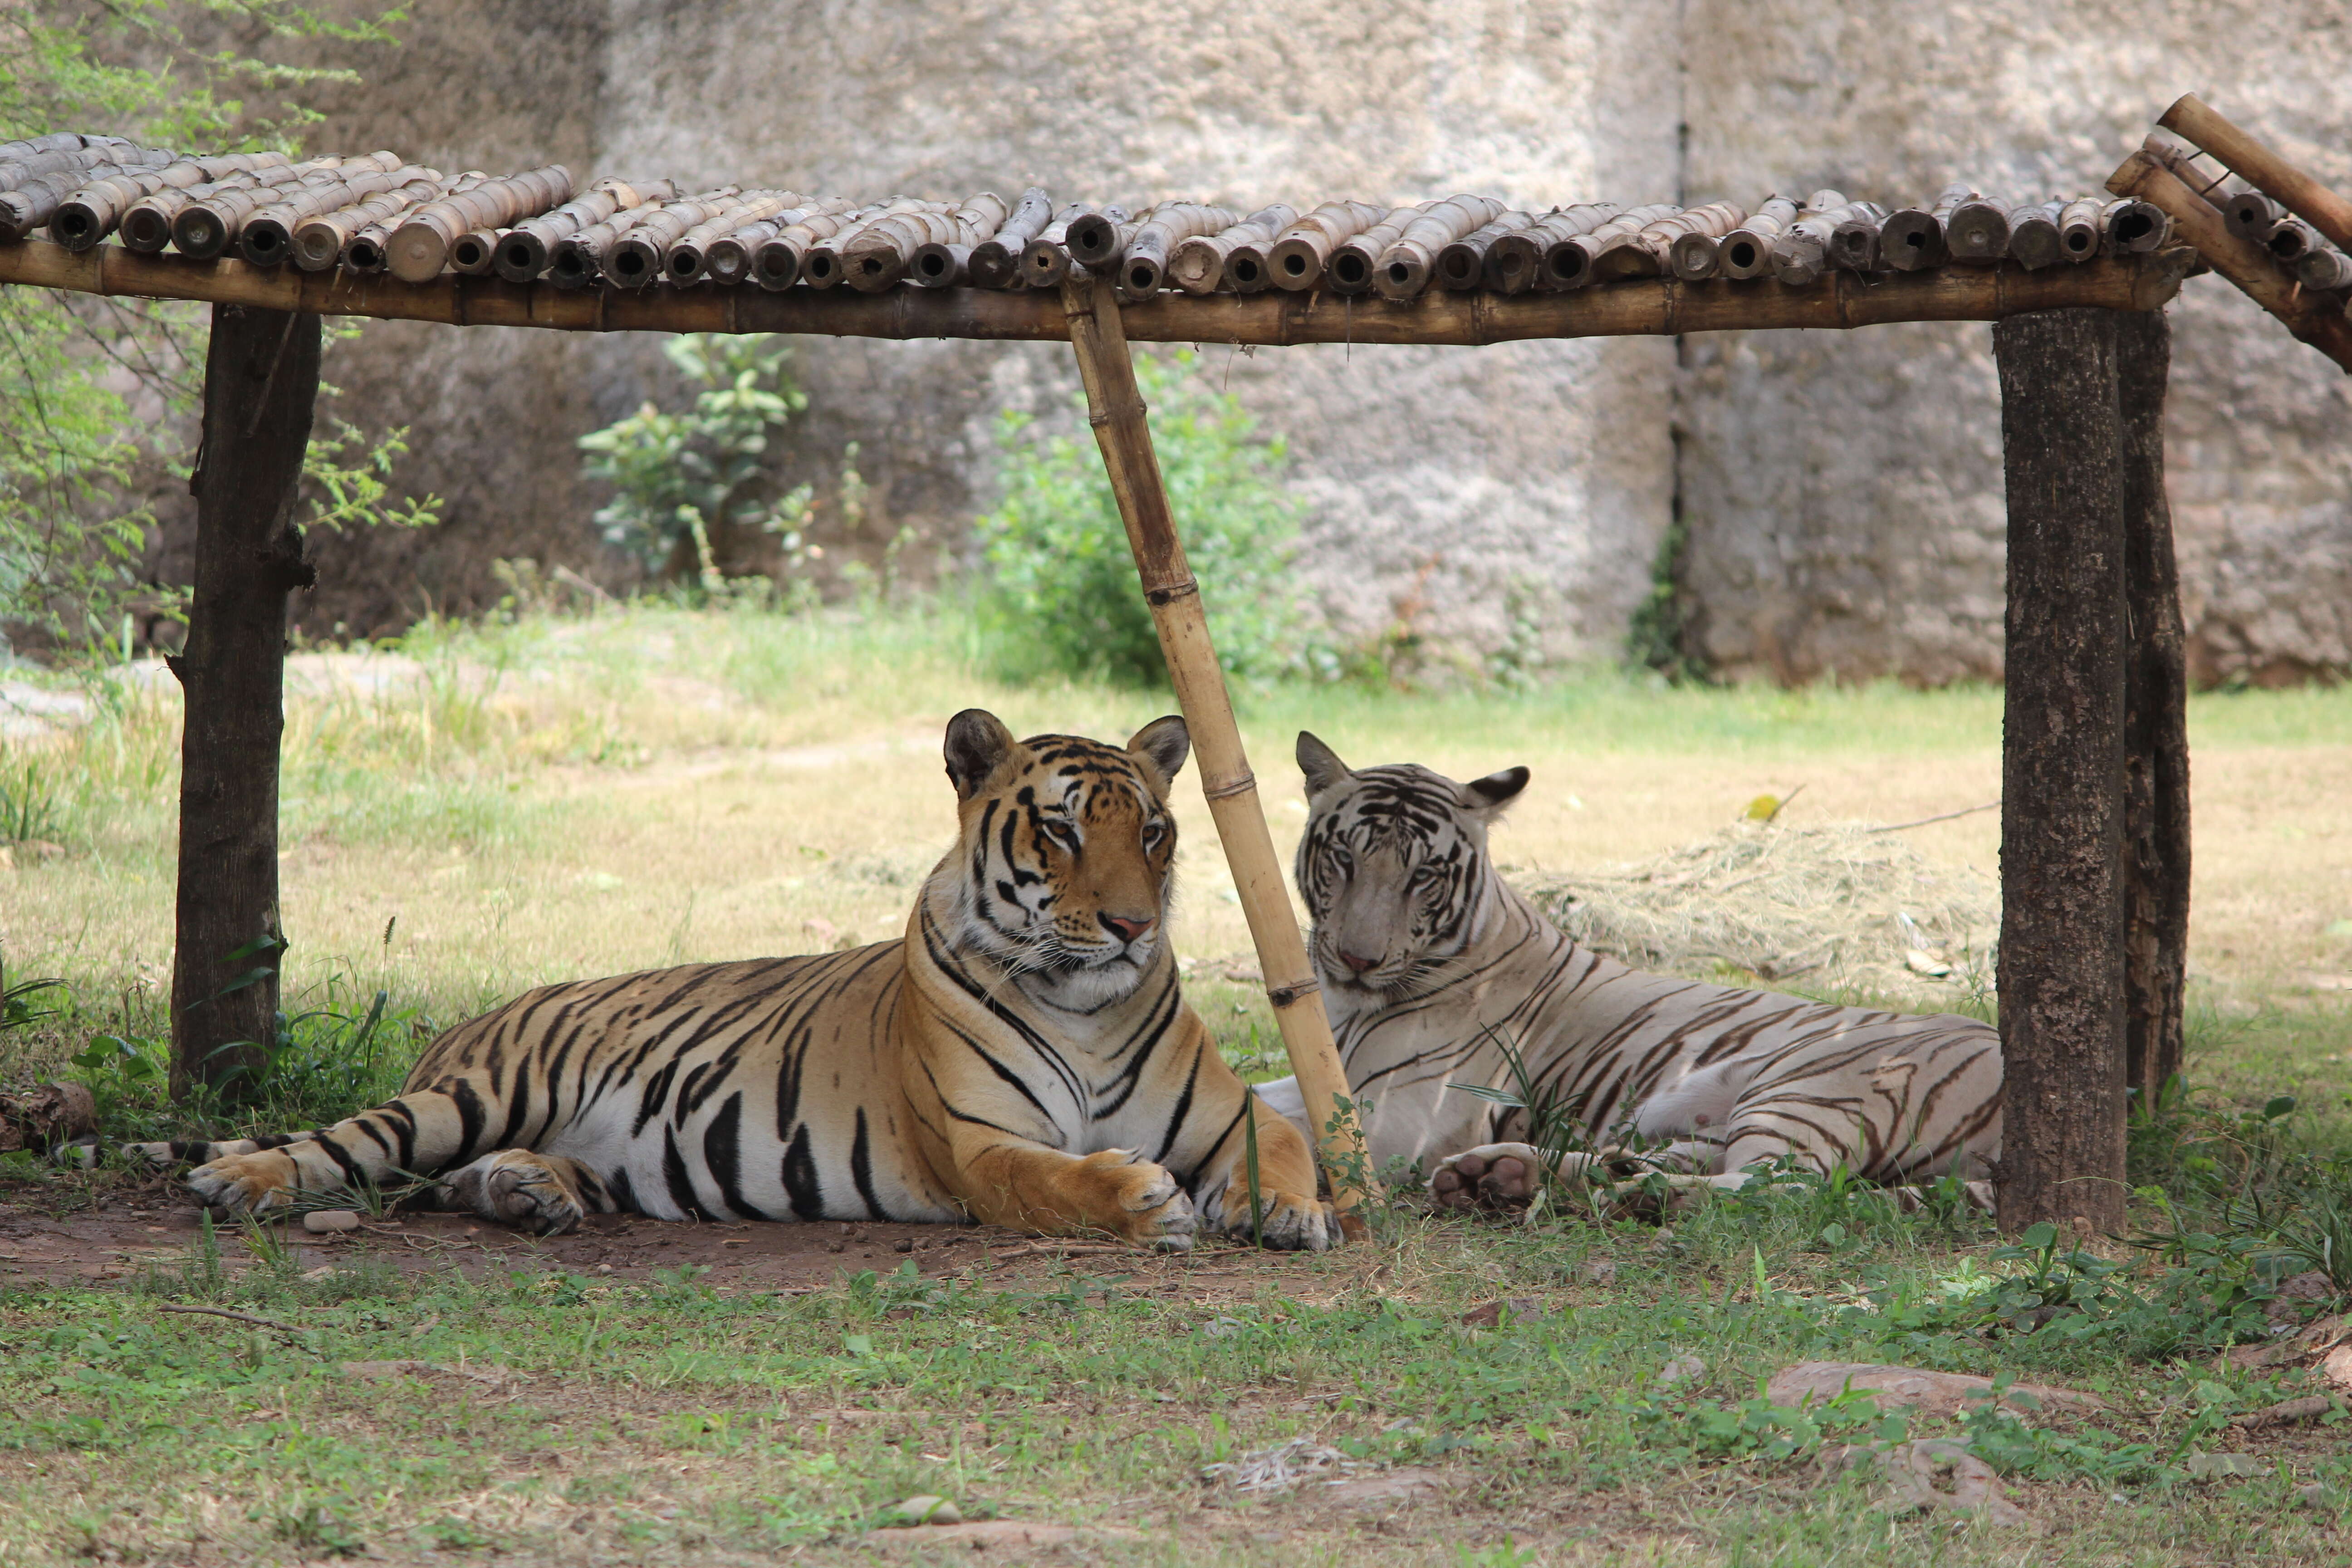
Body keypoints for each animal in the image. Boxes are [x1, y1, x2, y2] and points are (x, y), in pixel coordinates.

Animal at [1260, 738, 1994, 1213]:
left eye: (1422, 876)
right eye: (1344, 860)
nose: (1359, 959)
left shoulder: (1399, 1121)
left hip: (1808, 1087)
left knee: (1774, 1187)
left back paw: (1617, 1194)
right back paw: (1504, 1176)